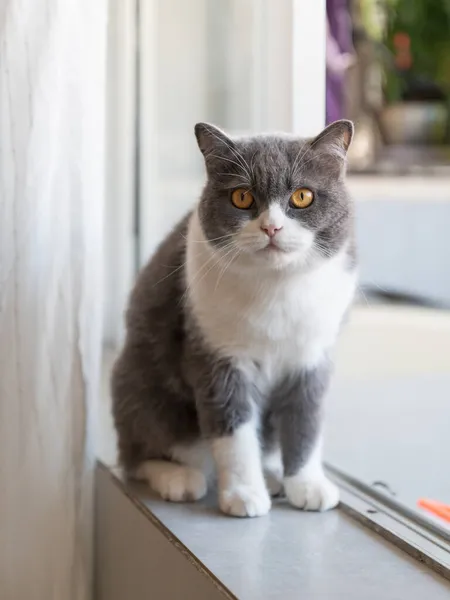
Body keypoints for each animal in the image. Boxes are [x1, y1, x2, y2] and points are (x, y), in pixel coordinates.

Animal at [110, 120, 356, 516]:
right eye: (242, 197)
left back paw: (274, 479)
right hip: (138, 383)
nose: (272, 228)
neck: (276, 287)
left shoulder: (312, 355)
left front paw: (307, 485)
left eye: (303, 196)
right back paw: (178, 477)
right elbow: (232, 428)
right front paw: (243, 494)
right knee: (138, 452)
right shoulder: (216, 354)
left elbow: (306, 419)